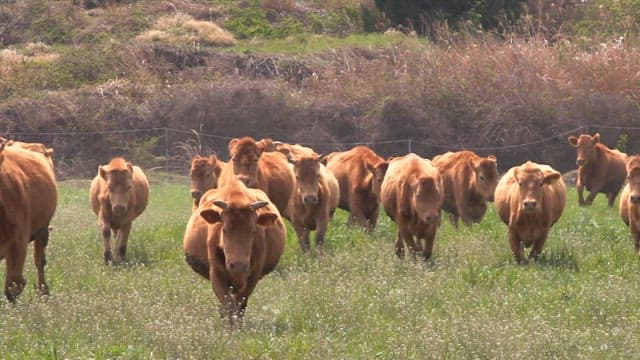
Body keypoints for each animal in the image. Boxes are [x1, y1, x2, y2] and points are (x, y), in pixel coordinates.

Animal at [184, 180, 286, 324]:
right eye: (224, 229)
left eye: (253, 230)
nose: (239, 265)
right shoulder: (216, 274)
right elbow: (228, 305)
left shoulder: (253, 276)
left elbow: (240, 304)